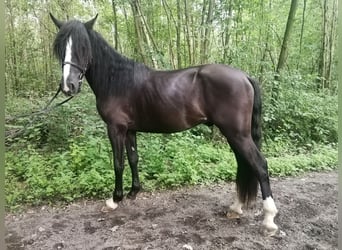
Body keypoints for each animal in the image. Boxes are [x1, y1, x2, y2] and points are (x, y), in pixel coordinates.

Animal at [50, 14, 278, 235]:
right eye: (60, 48)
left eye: (83, 47)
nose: (68, 86)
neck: (117, 81)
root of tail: (244, 76)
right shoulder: (130, 130)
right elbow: (133, 159)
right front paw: (133, 192)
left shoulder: (115, 129)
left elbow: (118, 162)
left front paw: (115, 199)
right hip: (234, 134)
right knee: (244, 164)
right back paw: (236, 207)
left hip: (237, 134)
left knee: (259, 165)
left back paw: (268, 219)